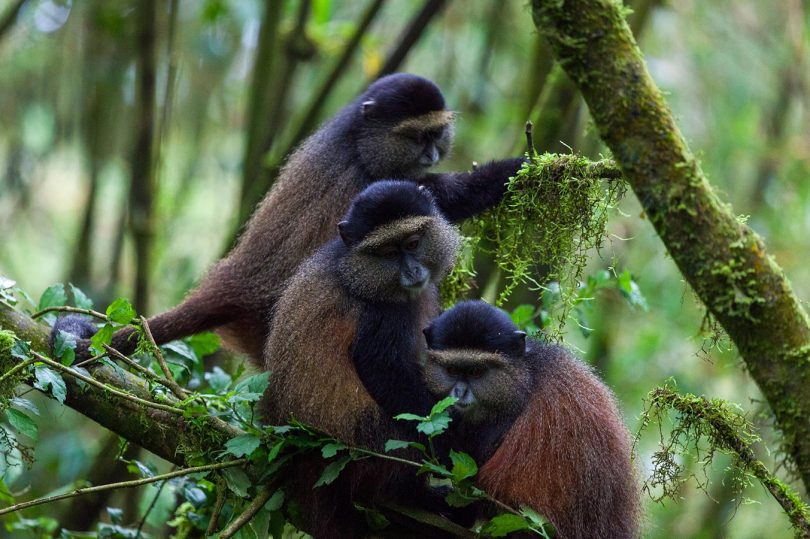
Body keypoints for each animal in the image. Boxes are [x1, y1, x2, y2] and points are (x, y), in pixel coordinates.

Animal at [52, 73, 524, 364]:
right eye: (416, 136)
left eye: (436, 134)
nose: (430, 153)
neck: (357, 141)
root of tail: (236, 283)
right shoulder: (372, 184)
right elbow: (437, 198)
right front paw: (521, 168)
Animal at [259, 180, 461, 538]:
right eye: (389, 254)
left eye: (413, 243)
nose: (412, 271)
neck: (355, 269)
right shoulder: (381, 317)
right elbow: (384, 371)